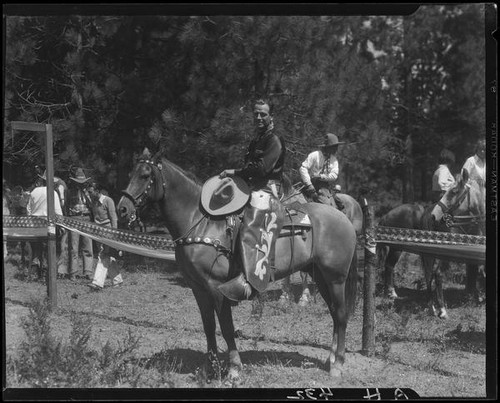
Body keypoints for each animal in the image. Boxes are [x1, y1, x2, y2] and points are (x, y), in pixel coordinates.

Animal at [117, 150, 360, 384]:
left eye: (145, 175)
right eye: (130, 173)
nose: (122, 208)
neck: (202, 222)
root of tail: (344, 218)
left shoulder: (216, 287)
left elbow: (226, 327)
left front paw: (234, 369)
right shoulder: (198, 288)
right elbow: (208, 327)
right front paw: (208, 369)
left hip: (336, 278)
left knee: (340, 314)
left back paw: (338, 364)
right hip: (320, 276)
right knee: (334, 313)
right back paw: (330, 359)